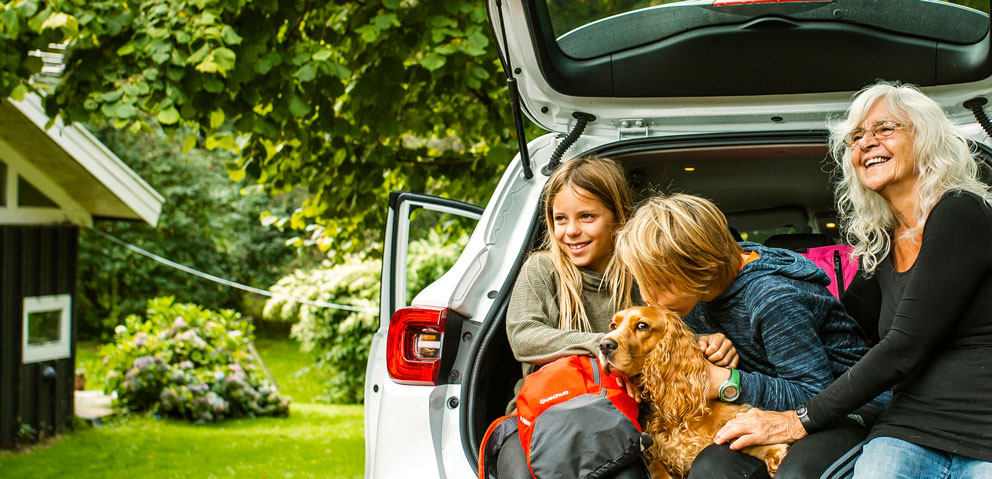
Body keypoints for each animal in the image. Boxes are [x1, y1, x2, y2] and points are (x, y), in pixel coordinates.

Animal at [596, 308, 792, 479]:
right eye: (613, 325)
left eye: (642, 325)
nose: (604, 345)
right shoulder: (658, 452)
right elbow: (656, 466)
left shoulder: (735, 416)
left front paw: (772, 451)